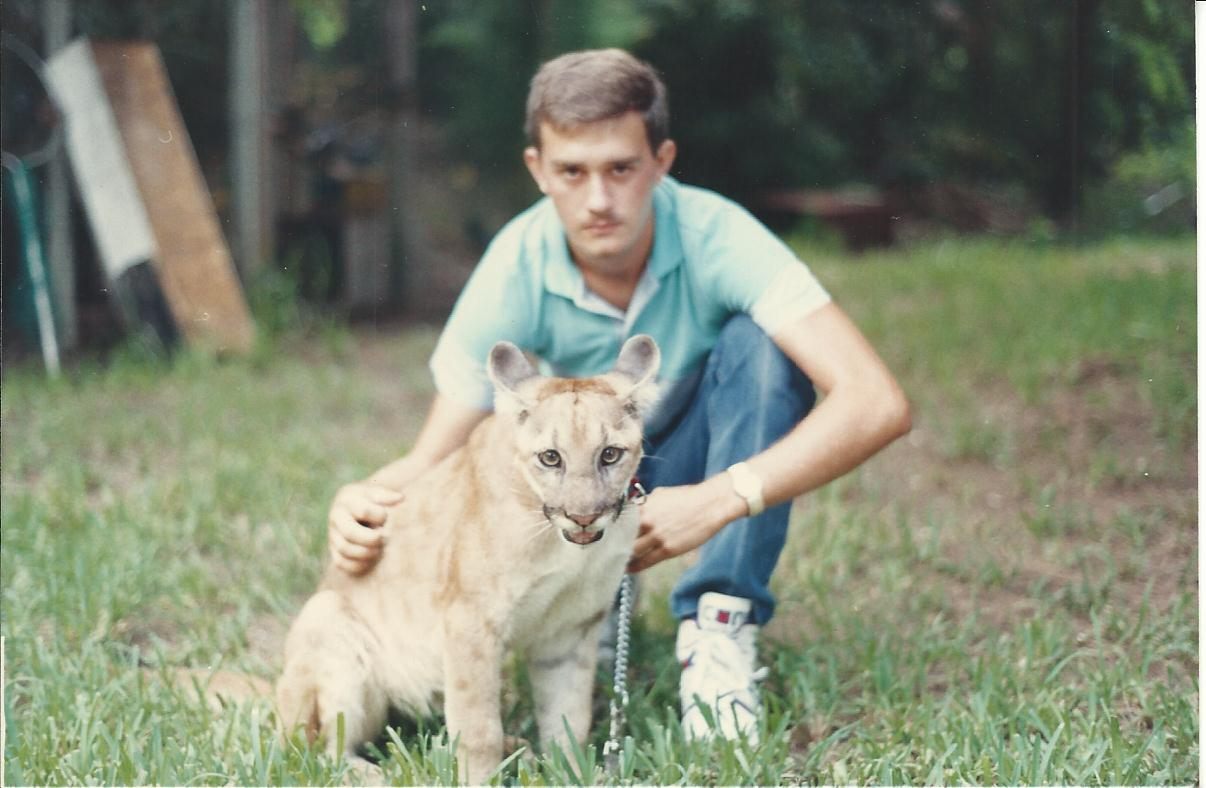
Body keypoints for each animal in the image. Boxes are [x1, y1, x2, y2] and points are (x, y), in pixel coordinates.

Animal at [276, 333, 660, 781]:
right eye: (551, 457)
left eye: (610, 454)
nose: (583, 516)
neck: (567, 550)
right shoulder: (471, 620)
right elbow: (477, 725)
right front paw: (480, 777)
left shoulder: (570, 627)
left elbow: (569, 716)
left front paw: (571, 772)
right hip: (328, 621)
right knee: (318, 750)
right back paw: (373, 774)